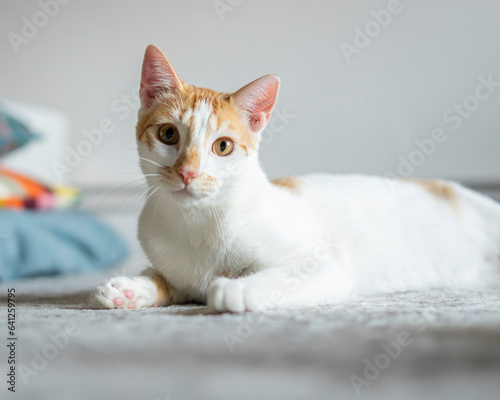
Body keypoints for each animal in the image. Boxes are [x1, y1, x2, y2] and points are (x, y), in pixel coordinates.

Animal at [90, 44, 500, 312]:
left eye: (222, 147)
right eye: (168, 134)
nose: (188, 172)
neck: (197, 224)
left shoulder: (323, 265)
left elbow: (282, 275)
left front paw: (235, 291)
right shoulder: (175, 268)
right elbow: (164, 278)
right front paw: (130, 288)